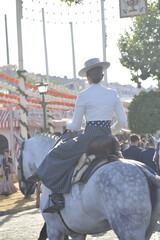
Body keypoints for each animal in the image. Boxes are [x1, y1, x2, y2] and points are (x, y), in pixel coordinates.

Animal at [15, 133, 160, 240]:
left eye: (17, 159)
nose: (23, 188)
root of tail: (144, 171)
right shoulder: (77, 232)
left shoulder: (53, 229)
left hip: (129, 231)